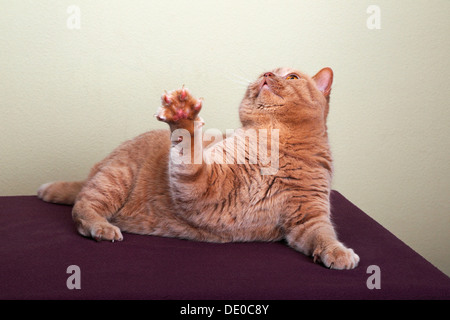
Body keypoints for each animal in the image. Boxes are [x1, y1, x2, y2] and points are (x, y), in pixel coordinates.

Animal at [39, 67, 362, 270]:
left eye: (292, 76)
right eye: (268, 71)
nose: (267, 75)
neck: (275, 141)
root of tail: (98, 166)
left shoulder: (308, 218)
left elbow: (323, 236)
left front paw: (338, 253)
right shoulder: (204, 185)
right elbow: (190, 150)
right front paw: (183, 116)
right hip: (115, 179)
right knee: (82, 210)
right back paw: (102, 227)